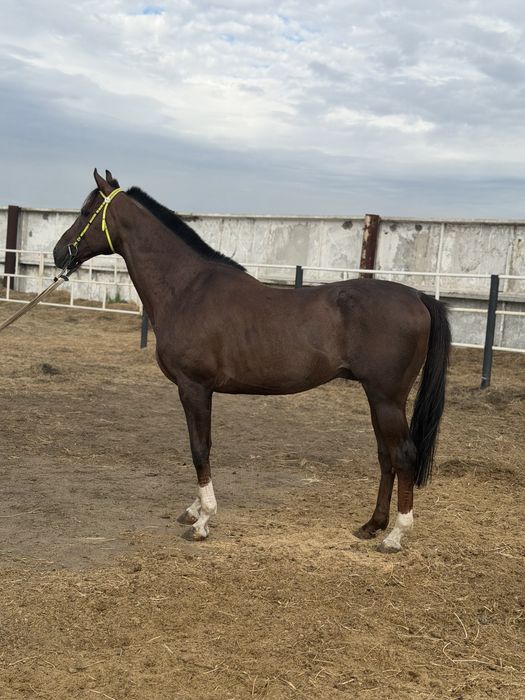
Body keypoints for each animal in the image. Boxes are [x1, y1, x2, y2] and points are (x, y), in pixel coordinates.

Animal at [53, 169, 451, 552]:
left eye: (86, 212)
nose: (59, 253)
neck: (186, 289)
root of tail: (418, 296)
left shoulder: (194, 387)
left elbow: (199, 449)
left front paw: (203, 521)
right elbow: (202, 445)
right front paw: (194, 510)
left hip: (387, 398)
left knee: (404, 455)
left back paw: (395, 536)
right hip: (377, 397)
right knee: (386, 456)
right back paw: (372, 525)